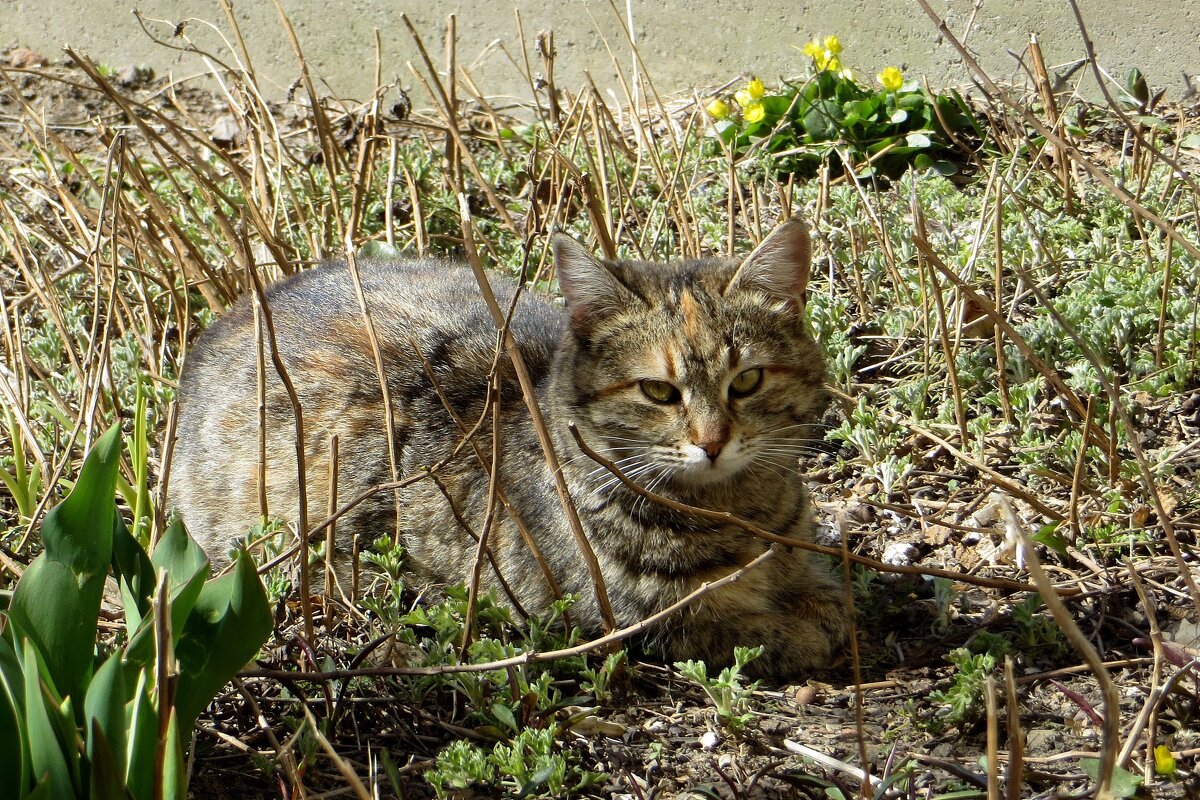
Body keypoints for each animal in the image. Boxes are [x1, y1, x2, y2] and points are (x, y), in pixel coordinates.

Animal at [169, 219, 849, 681]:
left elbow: (828, 597)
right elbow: (763, 632)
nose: (712, 442)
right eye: (659, 391)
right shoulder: (639, 623)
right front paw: (803, 633)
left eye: (747, 381)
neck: (739, 509)